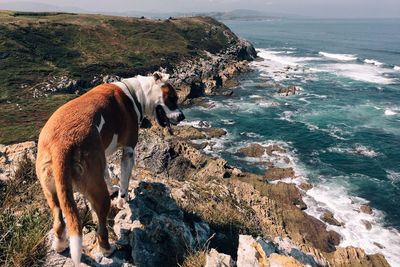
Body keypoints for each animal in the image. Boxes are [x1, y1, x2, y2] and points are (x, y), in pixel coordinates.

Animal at [35, 72, 185, 266]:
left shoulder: (103, 155)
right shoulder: (128, 151)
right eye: (172, 98)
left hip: (51, 190)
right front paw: (123, 199)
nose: (182, 117)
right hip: (98, 195)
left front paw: (113, 187)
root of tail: (62, 144)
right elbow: (125, 179)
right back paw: (107, 248)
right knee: (101, 226)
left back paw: (60, 244)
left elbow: (107, 172)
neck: (135, 94)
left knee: (59, 219)